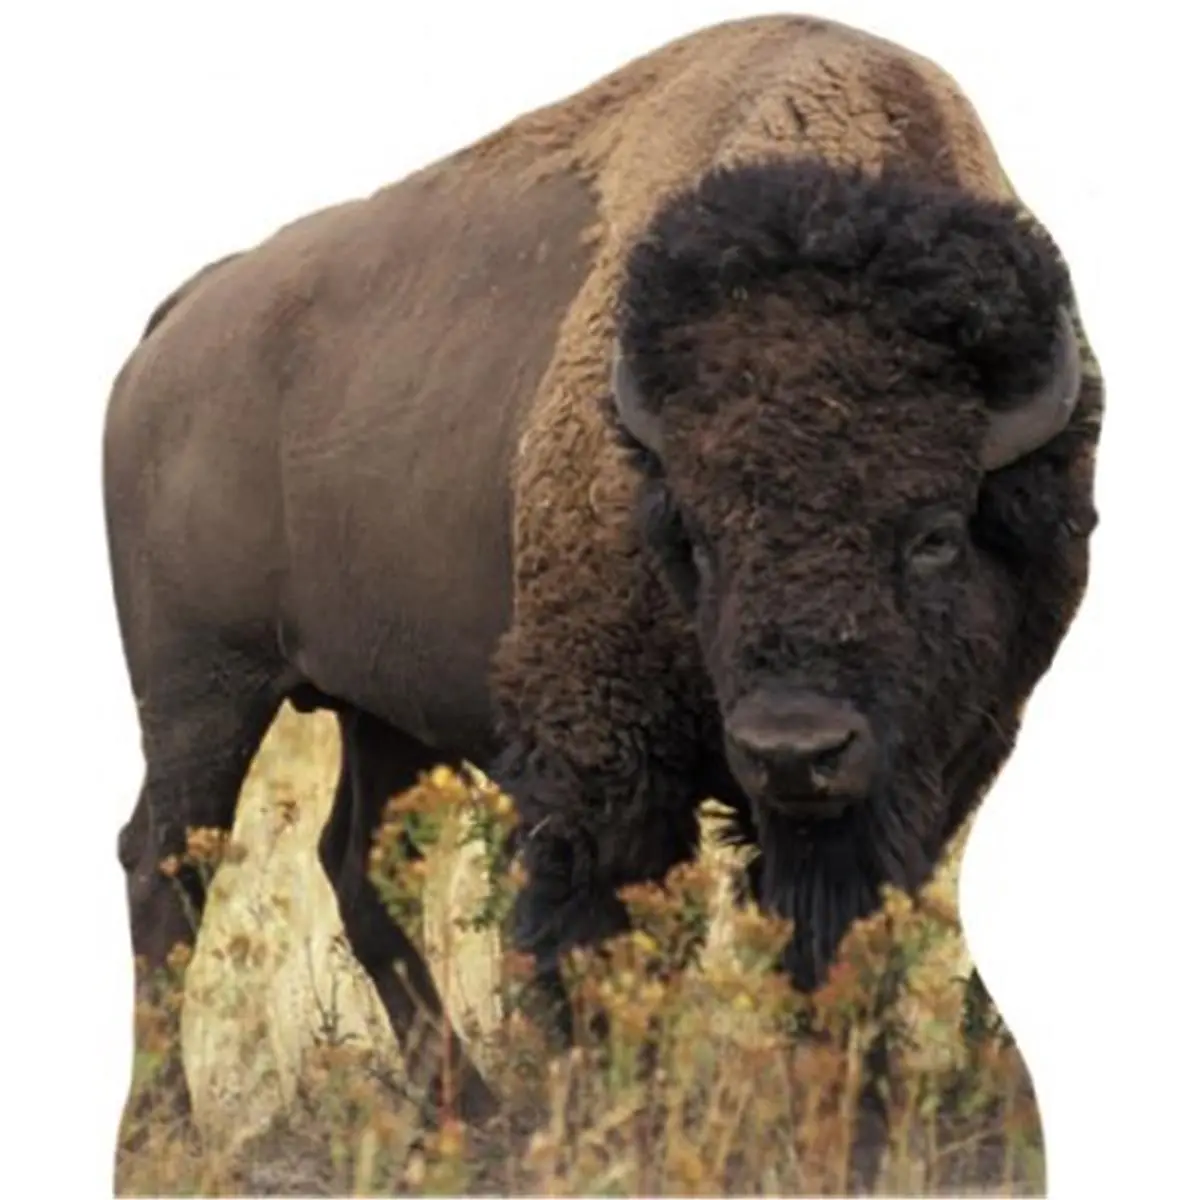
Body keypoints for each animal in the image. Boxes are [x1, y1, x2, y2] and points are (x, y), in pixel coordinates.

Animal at [103, 13, 1102, 1119]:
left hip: (377, 707)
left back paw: (470, 1111)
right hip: (202, 692)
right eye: (696, 536)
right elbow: (603, 942)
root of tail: (180, 320)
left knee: (353, 863)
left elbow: (837, 936)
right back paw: (168, 1123)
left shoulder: (942, 756)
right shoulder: (604, 761)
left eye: (934, 533)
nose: (794, 749)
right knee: (166, 866)